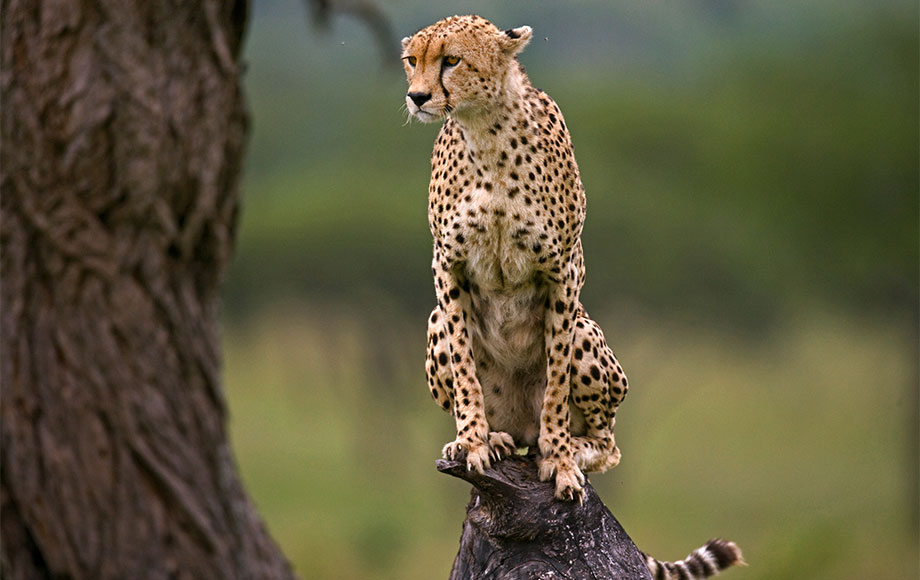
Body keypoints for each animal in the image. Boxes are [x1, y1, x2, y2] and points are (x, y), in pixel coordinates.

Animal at [402, 13, 624, 502]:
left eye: (451, 60)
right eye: (411, 60)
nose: (417, 96)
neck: (486, 131)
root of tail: (522, 428)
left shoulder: (563, 270)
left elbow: (556, 382)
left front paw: (561, 459)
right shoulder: (447, 265)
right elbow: (465, 367)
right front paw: (472, 441)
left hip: (586, 331)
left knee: (608, 444)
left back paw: (571, 446)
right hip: (434, 322)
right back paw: (497, 436)